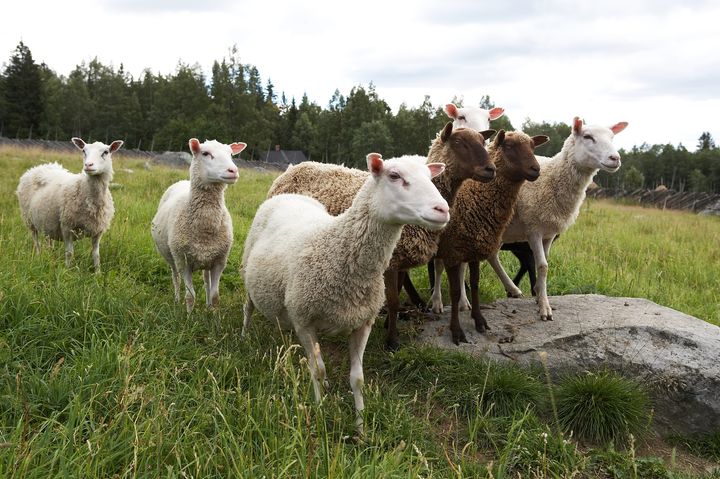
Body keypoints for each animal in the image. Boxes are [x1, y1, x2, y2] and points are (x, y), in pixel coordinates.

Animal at [15, 137, 124, 272]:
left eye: (106, 152)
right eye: (84, 151)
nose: (88, 165)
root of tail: (38, 167)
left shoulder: (98, 230)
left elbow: (96, 255)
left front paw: (97, 273)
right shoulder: (66, 227)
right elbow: (69, 253)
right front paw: (67, 272)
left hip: (47, 220)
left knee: (48, 239)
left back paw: (49, 256)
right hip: (29, 220)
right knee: (36, 241)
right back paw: (39, 257)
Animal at [150, 139, 246, 314]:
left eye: (230, 154)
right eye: (205, 153)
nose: (233, 170)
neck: (205, 229)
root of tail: (182, 181)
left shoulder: (219, 262)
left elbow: (215, 297)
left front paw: (214, 317)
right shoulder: (183, 262)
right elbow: (190, 296)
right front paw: (188, 317)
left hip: (207, 258)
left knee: (206, 280)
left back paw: (207, 305)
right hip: (171, 256)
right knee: (175, 278)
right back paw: (176, 300)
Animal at [242, 153, 450, 436]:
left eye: (431, 178)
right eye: (394, 176)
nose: (443, 210)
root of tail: (287, 195)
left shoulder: (363, 323)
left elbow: (357, 379)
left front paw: (361, 429)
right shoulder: (304, 321)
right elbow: (318, 370)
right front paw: (319, 413)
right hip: (246, 269)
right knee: (248, 307)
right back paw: (244, 336)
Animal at [486, 117, 628, 322]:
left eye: (612, 137)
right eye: (588, 137)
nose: (615, 158)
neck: (552, 176)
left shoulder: (549, 233)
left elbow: (544, 264)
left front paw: (539, 296)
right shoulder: (533, 229)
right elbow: (542, 266)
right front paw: (544, 307)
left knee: (491, 255)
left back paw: (513, 289)